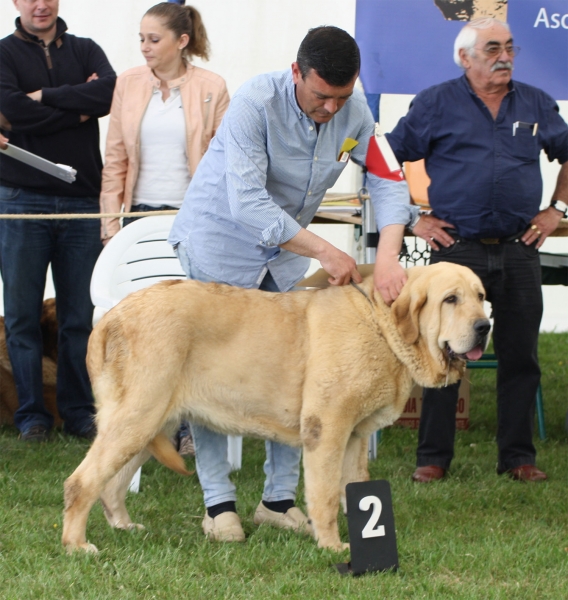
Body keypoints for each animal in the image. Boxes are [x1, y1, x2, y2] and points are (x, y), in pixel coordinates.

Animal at [61, 262, 488, 552]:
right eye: (451, 299)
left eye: (481, 296)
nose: (484, 326)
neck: (382, 325)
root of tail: (111, 317)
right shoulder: (327, 430)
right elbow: (326, 496)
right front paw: (332, 545)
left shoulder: (354, 438)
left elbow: (355, 489)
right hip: (139, 416)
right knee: (81, 482)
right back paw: (76, 545)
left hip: (153, 425)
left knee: (111, 484)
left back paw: (123, 527)